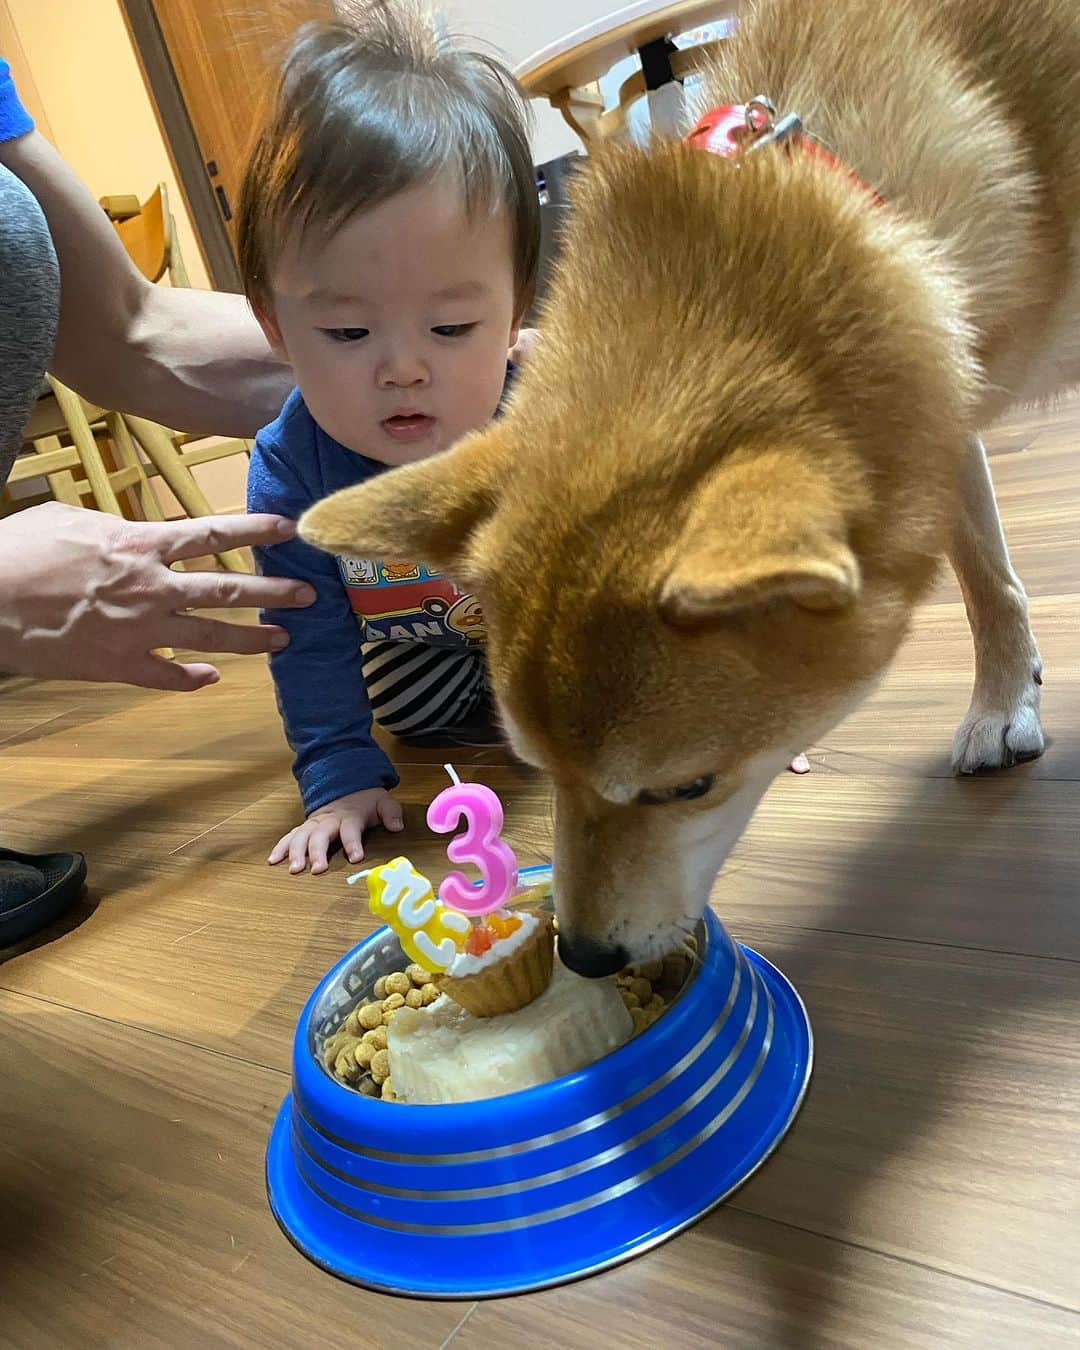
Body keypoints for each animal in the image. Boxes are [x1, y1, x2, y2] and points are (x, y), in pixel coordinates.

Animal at [299, 0, 1074, 972]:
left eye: (688, 787)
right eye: (541, 771)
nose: (585, 955)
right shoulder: (946, 382)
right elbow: (984, 577)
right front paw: (1004, 698)